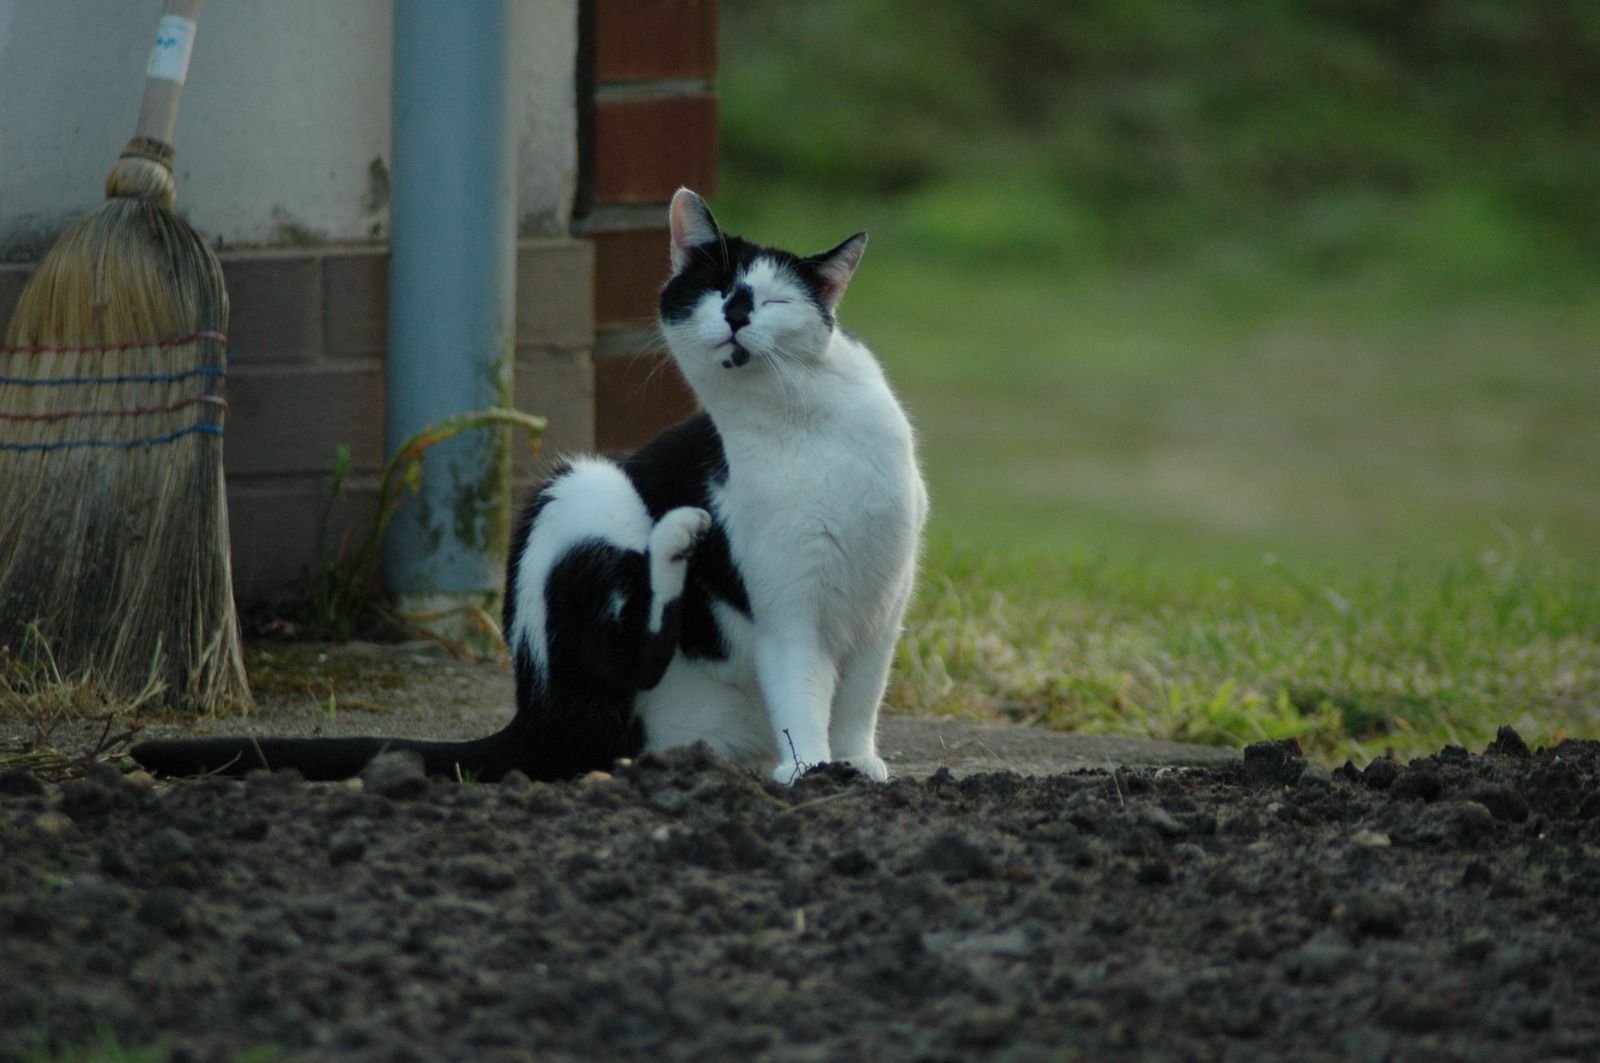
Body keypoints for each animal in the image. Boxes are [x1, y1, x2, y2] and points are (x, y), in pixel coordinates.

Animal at [132, 188, 934, 787]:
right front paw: (808, 769)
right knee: (620, 659)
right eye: (714, 289)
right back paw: (674, 540)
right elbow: (801, 688)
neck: (808, 423)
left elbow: (860, 696)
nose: (736, 313)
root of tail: (531, 714)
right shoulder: (785, 610)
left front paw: (857, 763)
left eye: (770, 299)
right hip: (587, 489)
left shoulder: (884, 604)